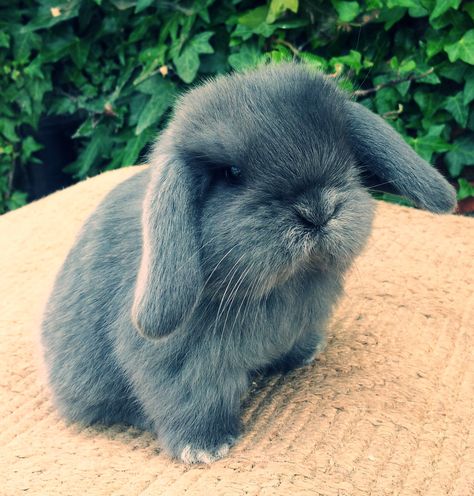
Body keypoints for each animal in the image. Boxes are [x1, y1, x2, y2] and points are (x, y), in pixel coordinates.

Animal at [41, 63, 456, 464]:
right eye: (232, 174)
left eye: (344, 149)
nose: (317, 210)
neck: (285, 286)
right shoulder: (180, 366)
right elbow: (190, 401)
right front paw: (204, 448)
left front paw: (305, 354)